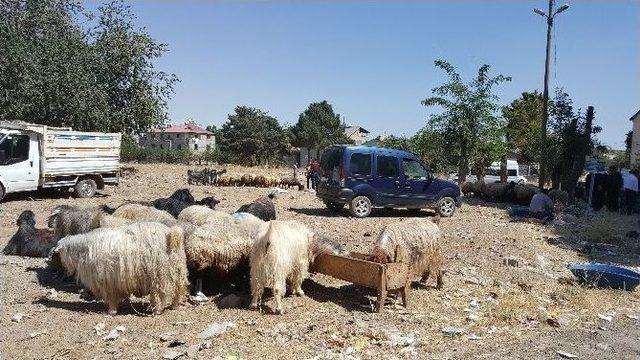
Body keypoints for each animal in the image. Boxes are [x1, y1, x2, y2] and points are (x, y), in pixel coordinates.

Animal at [54, 222, 188, 316]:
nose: (63, 271)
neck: (84, 250)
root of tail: (171, 234)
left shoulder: (108, 280)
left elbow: (112, 297)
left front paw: (112, 311)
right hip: (178, 270)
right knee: (178, 290)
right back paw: (175, 305)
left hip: (158, 274)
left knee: (158, 294)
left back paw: (156, 310)